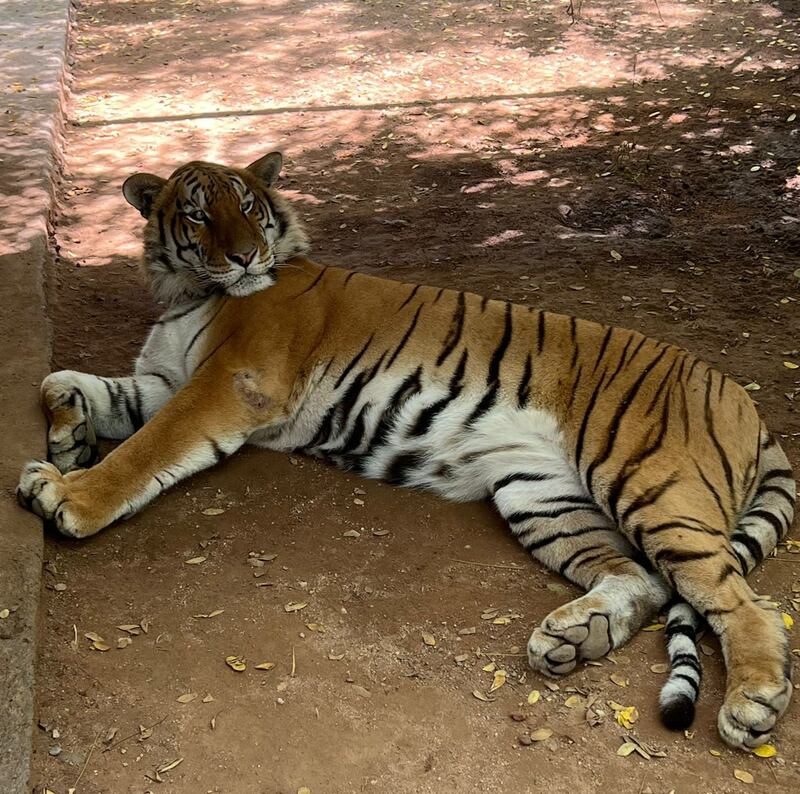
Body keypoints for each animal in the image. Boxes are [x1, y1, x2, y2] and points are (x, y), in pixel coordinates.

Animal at [15, 150, 796, 748]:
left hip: (648, 484)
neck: (185, 292)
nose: (242, 256)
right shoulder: (165, 380)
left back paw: (752, 705)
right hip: (539, 494)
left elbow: (146, 450)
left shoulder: (227, 387)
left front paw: (68, 493)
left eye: (250, 207)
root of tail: (745, 401)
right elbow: (64, 383)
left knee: (742, 601)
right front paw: (69, 437)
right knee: (642, 580)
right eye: (199, 215)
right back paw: (572, 640)